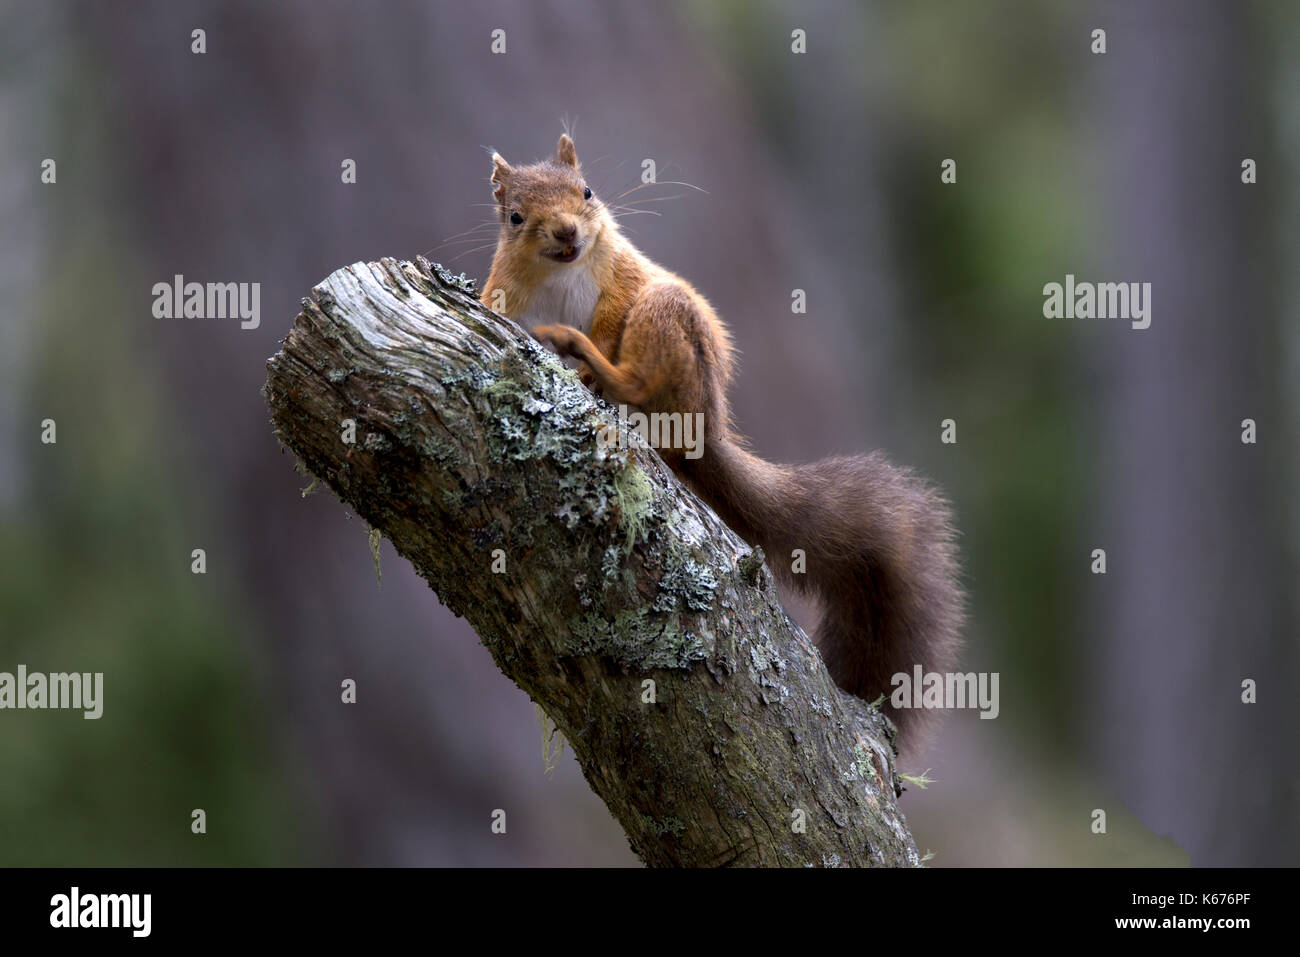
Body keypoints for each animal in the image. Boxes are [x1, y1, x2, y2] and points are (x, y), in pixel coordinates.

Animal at [483, 132, 961, 738]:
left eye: (586, 191)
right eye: (516, 217)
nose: (567, 232)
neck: (558, 273)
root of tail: (705, 425)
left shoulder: (623, 275)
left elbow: (618, 309)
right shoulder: (505, 292)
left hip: (668, 318)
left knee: (638, 374)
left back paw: (589, 360)